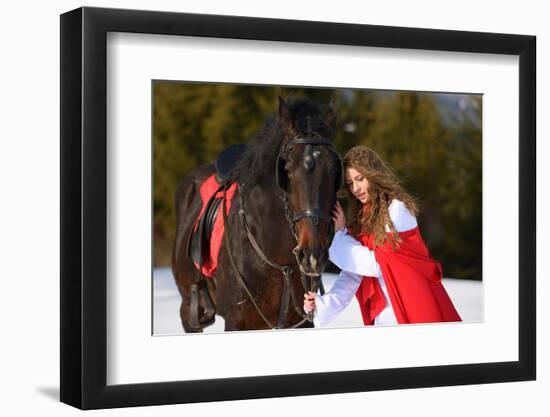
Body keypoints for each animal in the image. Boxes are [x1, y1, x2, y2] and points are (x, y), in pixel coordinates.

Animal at [174, 97, 344, 332]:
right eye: (287, 169)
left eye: (335, 170)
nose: (312, 255)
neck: (281, 264)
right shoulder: (236, 322)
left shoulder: (302, 323)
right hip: (189, 306)